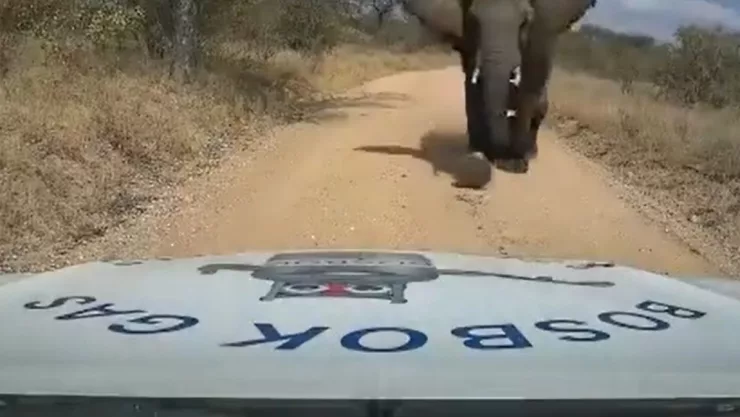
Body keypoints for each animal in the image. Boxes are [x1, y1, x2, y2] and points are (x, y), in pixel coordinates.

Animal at [402, 0, 596, 169]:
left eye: (525, 23)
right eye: (474, 20)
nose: (497, 153)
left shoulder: (541, 32)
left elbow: (529, 83)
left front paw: (514, 163)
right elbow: (473, 84)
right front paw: (479, 153)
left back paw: (529, 152)